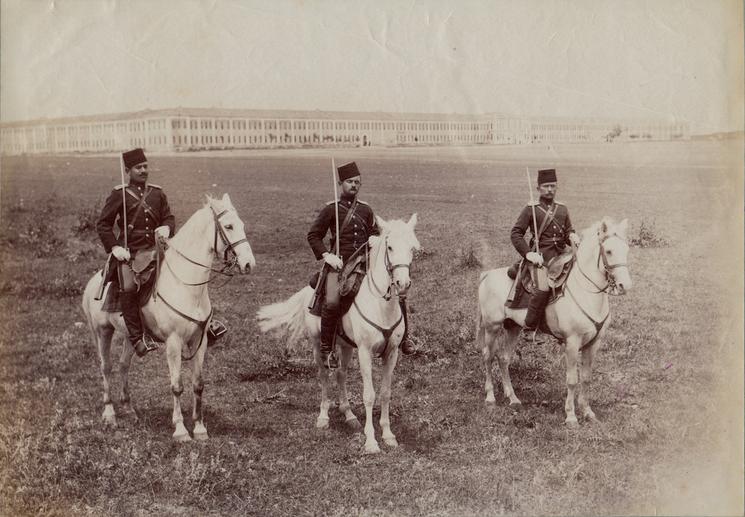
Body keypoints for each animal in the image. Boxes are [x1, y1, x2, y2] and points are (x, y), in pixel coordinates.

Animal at [81, 194, 256, 440]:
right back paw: (110, 414)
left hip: (130, 336)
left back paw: (130, 411)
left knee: (124, 365)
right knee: (106, 367)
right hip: (102, 331)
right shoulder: (173, 343)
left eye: (241, 225)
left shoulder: (199, 341)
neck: (187, 285)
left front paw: (199, 428)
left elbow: (198, 384)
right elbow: (177, 386)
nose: (249, 264)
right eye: (229, 226)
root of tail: (93, 282)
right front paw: (181, 430)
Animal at [256, 214, 418, 452]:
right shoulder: (365, 352)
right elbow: (369, 395)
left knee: (341, 374)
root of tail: (308, 291)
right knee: (324, 375)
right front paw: (371, 441)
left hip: (346, 345)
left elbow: (385, 393)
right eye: (390, 247)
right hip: (318, 345)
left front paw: (388, 435)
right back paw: (323, 417)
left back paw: (349, 415)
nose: (403, 283)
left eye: (412, 248)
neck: (381, 305)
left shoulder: (392, 353)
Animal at [476, 216, 628, 426]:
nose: (624, 285)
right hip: (492, 327)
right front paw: (571, 416)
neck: (587, 292)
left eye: (627, 249)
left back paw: (512, 397)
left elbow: (586, 378)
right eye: (609, 251)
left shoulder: (594, 343)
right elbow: (572, 380)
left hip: (512, 327)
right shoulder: (572, 342)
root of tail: (488, 275)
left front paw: (587, 411)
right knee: (488, 356)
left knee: (503, 358)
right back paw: (490, 396)